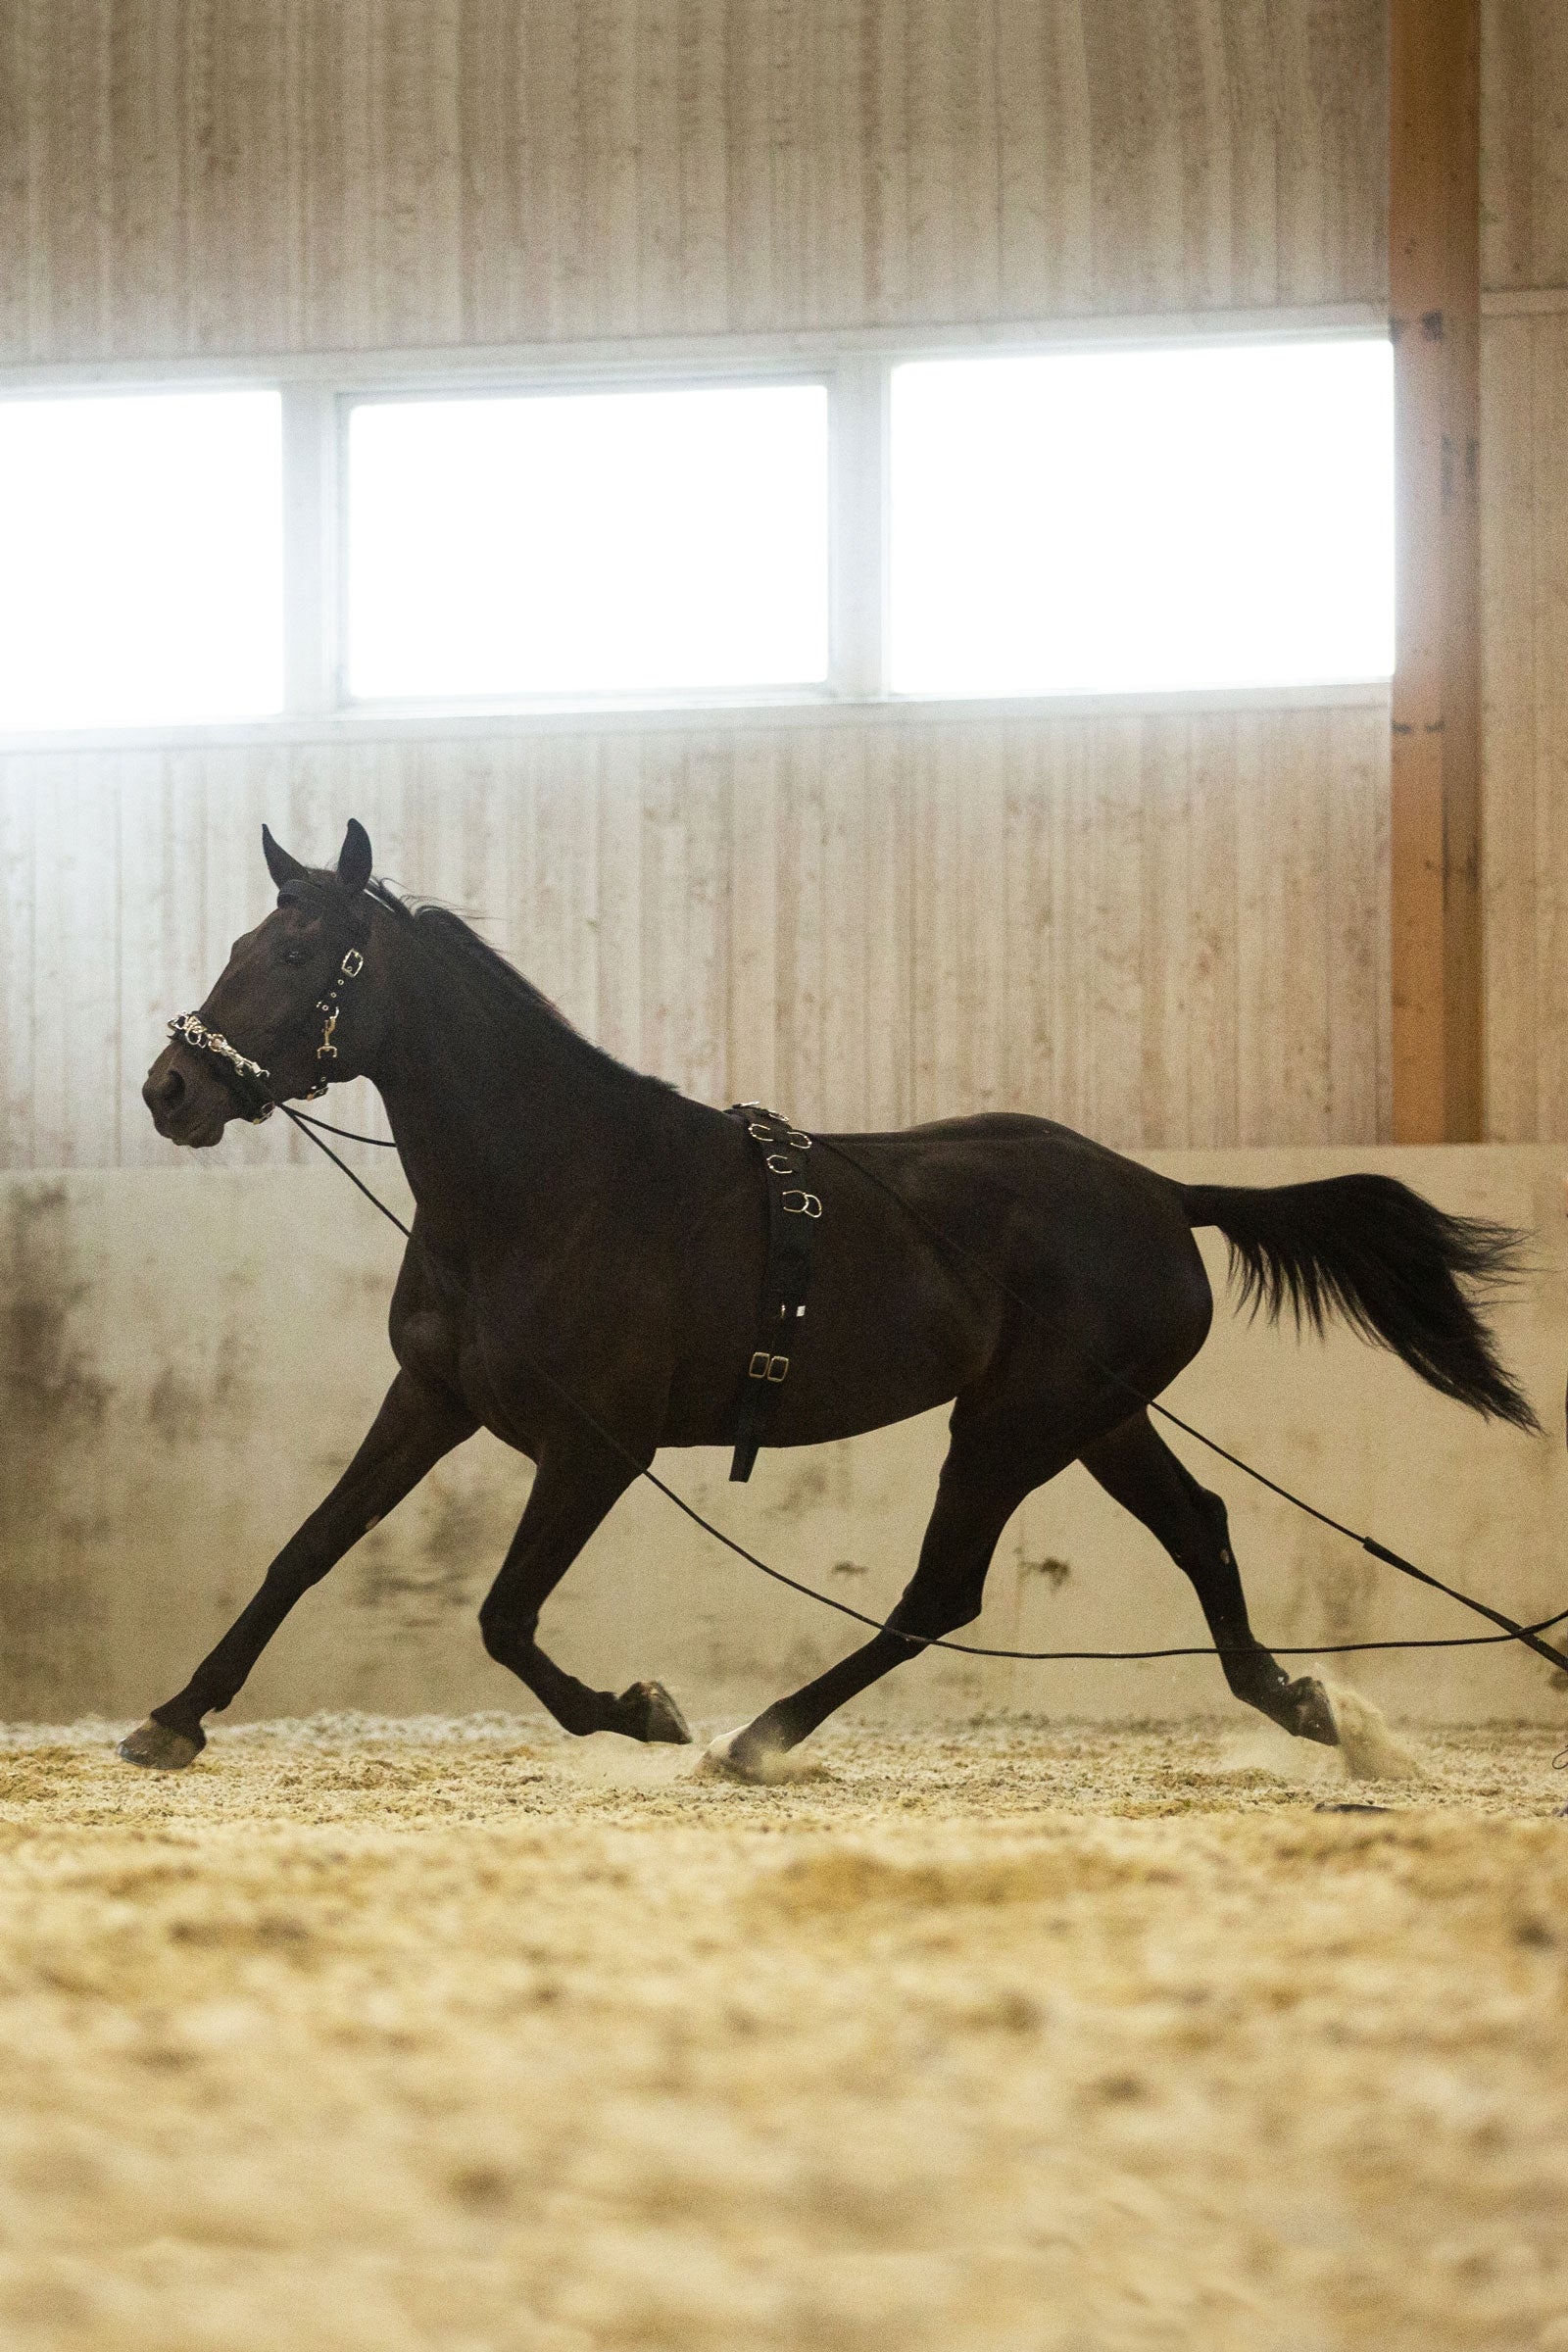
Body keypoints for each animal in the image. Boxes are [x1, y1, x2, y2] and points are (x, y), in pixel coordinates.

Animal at [124, 819, 1538, 1779]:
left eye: (301, 951)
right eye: (244, 942)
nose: (170, 1091)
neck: (550, 1184)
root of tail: (1158, 1191)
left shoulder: (596, 1447)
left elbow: (504, 1617)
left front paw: (641, 1712)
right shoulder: (431, 1398)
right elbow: (308, 1549)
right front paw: (174, 1717)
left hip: (1014, 1428)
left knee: (942, 1595)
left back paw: (758, 1736)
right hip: (1096, 1418)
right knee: (1199, 1526)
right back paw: (1302, 1705)